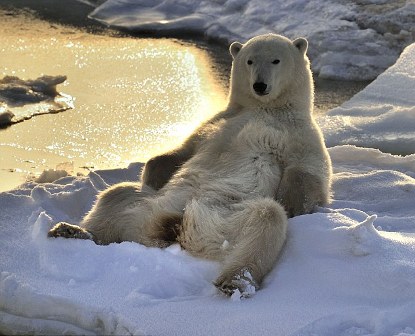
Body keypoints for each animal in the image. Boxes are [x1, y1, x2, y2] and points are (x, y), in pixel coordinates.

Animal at [48, 33, 334, 296]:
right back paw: (72, 231)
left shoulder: (299, 134)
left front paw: (293, 204)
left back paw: (236, 281)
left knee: (266, 218)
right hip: (152, 206)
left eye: (276, 60)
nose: (260, 85)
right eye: (250, 60)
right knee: (116, 195)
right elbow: (183, 151)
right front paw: (153, 173)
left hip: (226, 219)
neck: (265, 110)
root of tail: (179, 230)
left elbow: (309, 173)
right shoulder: (218, 121)